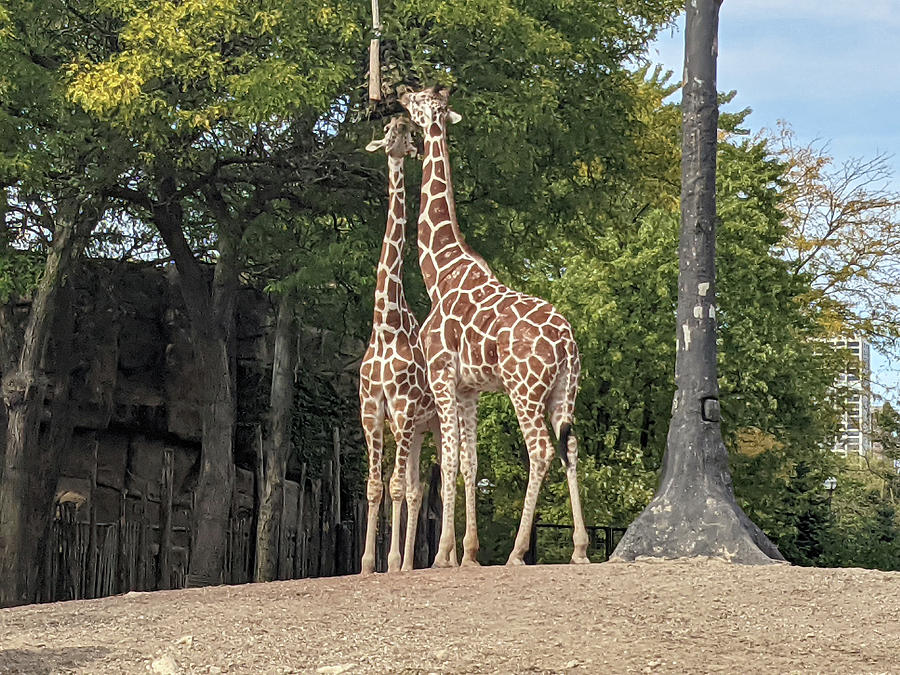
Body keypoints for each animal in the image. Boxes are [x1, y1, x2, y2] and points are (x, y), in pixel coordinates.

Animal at [400, 87, 592, 568]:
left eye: (419, 100)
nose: (400, 95)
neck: (438, 271)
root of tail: (567, 343)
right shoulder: (470, 388)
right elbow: (471, 463)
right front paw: (467, 554)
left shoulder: (442, 376)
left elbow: (449, 461)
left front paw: (443, 555)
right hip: (565, 390)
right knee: (571, 447)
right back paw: (580, 548)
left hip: (524, 389)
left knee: (541, 449)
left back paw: (518, 551)